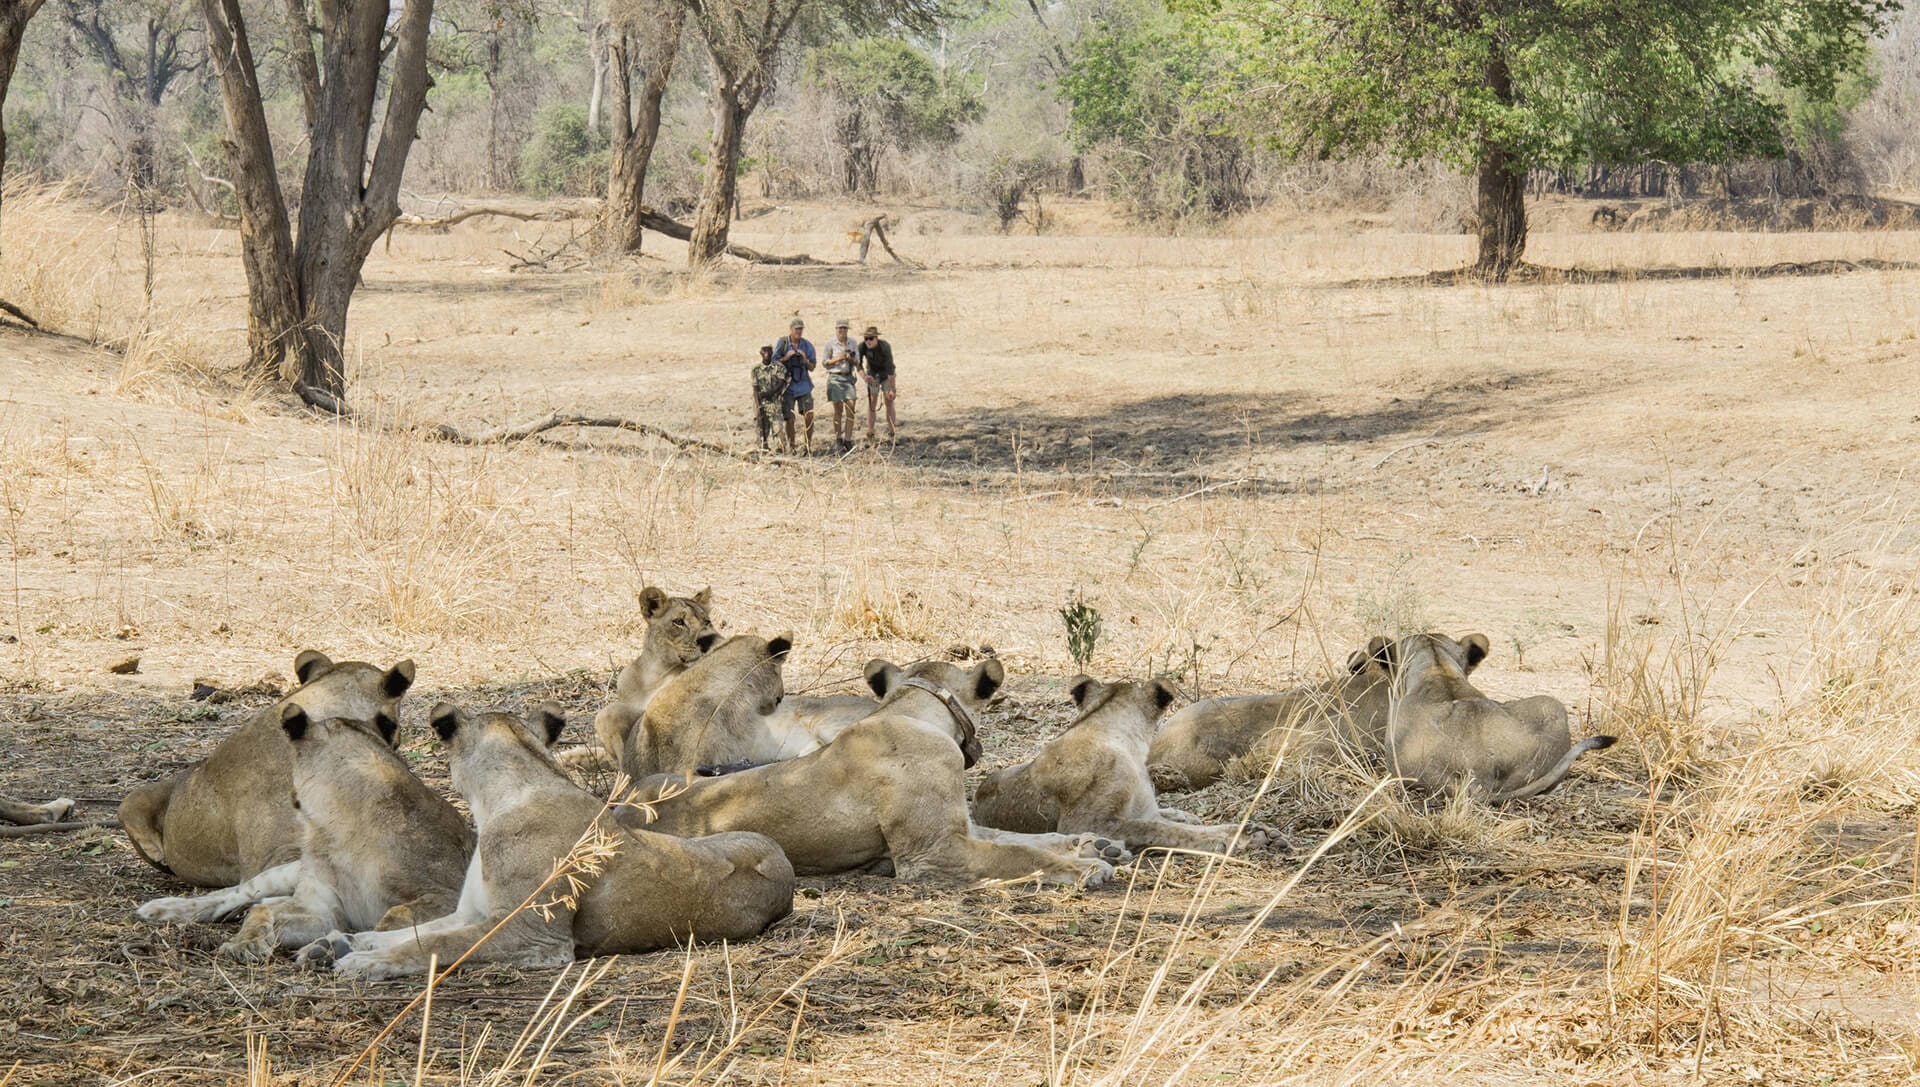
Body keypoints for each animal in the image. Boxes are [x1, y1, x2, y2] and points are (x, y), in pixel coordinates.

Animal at [138, 707, 471, 964]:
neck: (337, 829)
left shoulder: (444, 894)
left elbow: (392, 919)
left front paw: (331, 947)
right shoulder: (322, 908)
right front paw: (247, 943)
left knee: (260, 905)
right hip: (284, 873)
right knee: (242, 895)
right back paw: (163, 909)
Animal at [301, 702, 794, 980]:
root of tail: (786, 869)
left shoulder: (532, 936)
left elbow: (435, 946)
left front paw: (363, 964)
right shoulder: (472, 913)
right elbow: (412, 931)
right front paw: (338, 943)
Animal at [622, 657, 1123, 886]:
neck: (915, 710)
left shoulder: (958, 828)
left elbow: (1025, 839)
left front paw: (1092, 844)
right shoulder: (932, 853)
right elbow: (1021, 854)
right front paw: (1086, 867)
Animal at [973, 676, 1275, 855]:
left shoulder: (1145, 810)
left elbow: (1170, 825)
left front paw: (1247, 831)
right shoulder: (1081, 823)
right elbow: (1159, 830)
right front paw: (1231, 838)